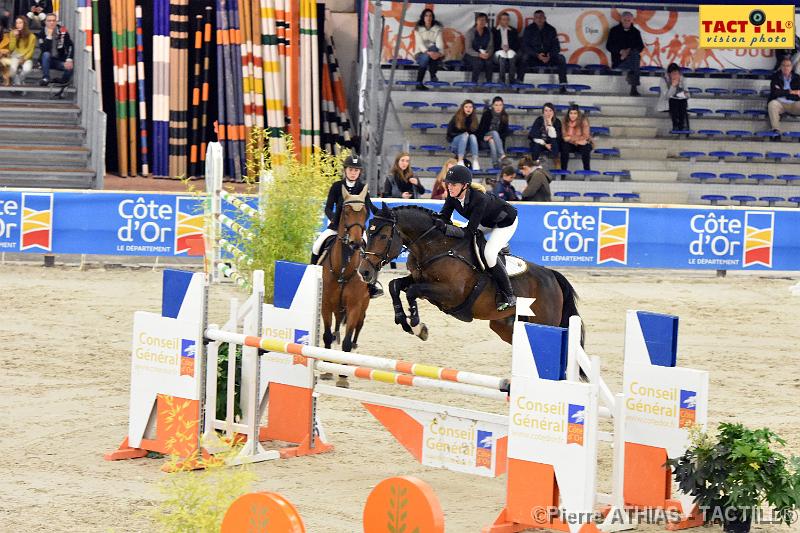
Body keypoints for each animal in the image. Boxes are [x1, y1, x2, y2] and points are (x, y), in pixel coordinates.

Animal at [358, 202, 580, 342]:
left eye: (384, 236)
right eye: (367, 232)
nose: (364, 272)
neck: (435, 246)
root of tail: (552, 276)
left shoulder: (452, 293)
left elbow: (411, 292)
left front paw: (416, 325)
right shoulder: (418, 278)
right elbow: (394, 285)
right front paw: (402, 320)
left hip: (546, 322)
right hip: (505, 326)